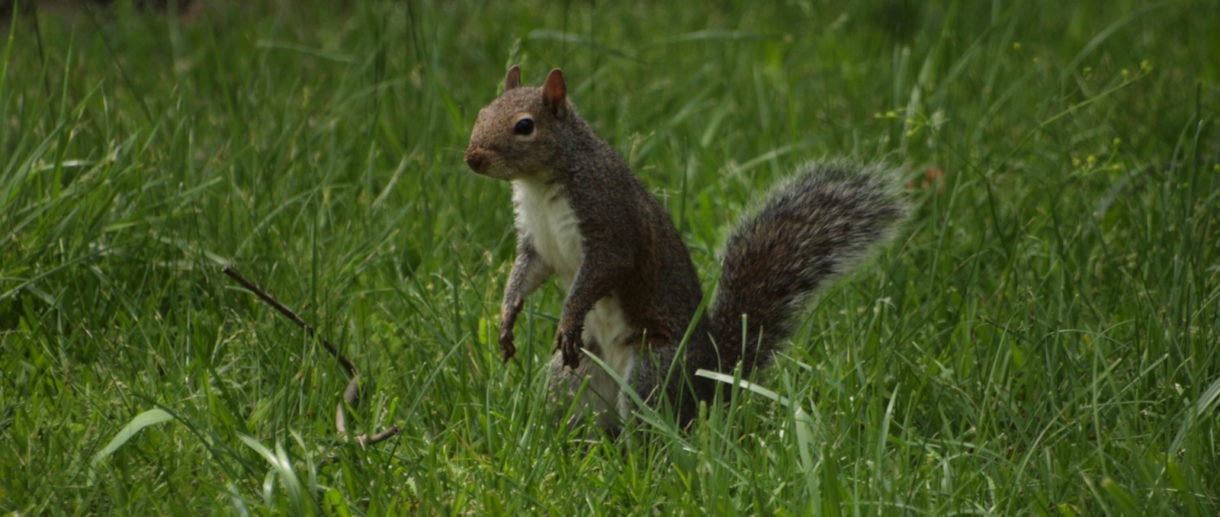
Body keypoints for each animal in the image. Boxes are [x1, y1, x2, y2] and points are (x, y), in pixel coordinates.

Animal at [466, 67, 907, 431]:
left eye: (525, 125)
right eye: (481, 112)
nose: (472, 159)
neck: (539, 185)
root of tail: (708, 380)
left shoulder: (609, 223)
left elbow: (601, 272)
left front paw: (569, 318)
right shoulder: (536, 244)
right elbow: (525, 275)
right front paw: (507, 319)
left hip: (653, 372)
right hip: (571, 377)